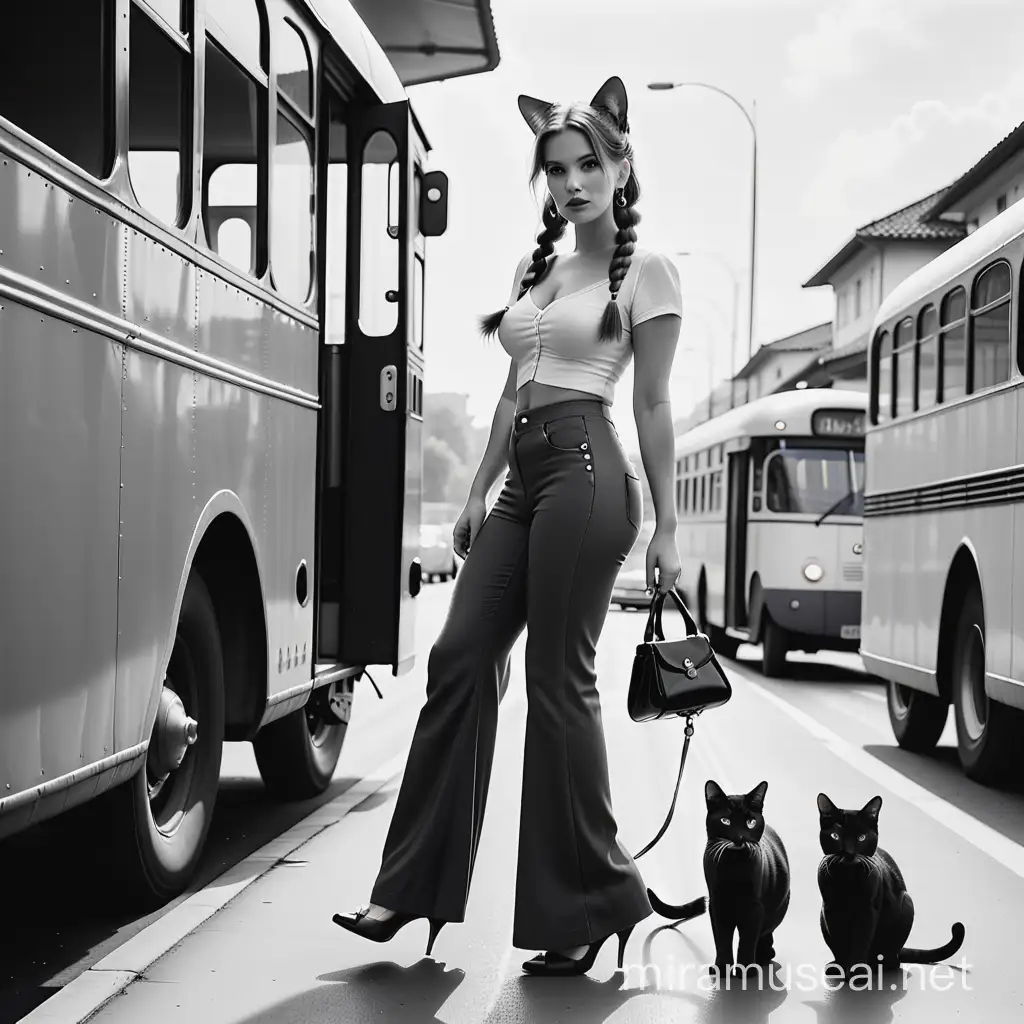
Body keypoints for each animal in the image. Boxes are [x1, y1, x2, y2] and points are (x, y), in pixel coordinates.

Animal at [647, 778, 790, 970]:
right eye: (725, 821)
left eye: (750, 822)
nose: (739, 838)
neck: (733, 867)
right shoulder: (717, 903)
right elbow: (722, 938)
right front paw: (722, 968)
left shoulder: (754, 908)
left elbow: (747, 940)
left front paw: (746, 970)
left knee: (765, 933)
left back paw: (764, 954)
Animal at [815, 790, 966, 974]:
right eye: (835, 836)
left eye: (861, 838)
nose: (849, 853)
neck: (848, 877)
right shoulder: (831, 909)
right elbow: (841, 942)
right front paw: (842, 968)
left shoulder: (868, 911)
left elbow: (861, 941)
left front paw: (857, 972)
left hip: (906, 905)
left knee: (892, 959)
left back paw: (879, 965)